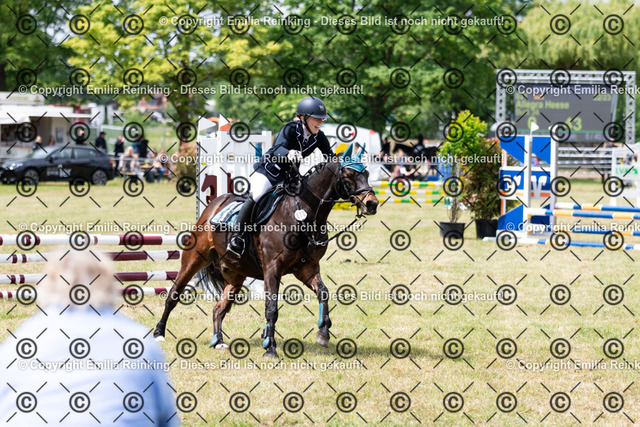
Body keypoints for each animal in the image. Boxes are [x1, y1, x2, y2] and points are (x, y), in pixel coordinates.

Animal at [153, 143, 379, 357]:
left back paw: (218, 341)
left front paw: (323, 333)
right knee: (173, 295)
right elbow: (271, 308)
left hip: (235, 275)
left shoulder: (307, 268)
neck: (302, 214)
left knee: (219, 308)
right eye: (349, 175)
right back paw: (159, 333)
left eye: (367, 173)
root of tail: (214, 205)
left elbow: (323, 293)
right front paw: (270, 348)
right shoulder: (272, 268)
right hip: (194, 258)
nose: (372, 204)